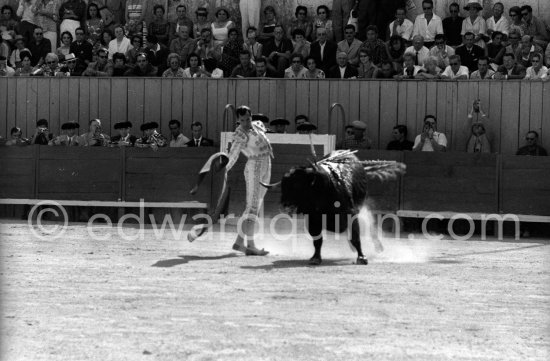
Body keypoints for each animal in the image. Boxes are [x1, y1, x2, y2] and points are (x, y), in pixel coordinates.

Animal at [264, 149, 406, 264]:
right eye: (283, 186)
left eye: (298, 185)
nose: (284, 206)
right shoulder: (312, 220)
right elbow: (317, 240)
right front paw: (315, 258)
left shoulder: (351, 214)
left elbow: (355, 237)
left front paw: (361, 258)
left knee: (368, 226)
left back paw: (378, 247)